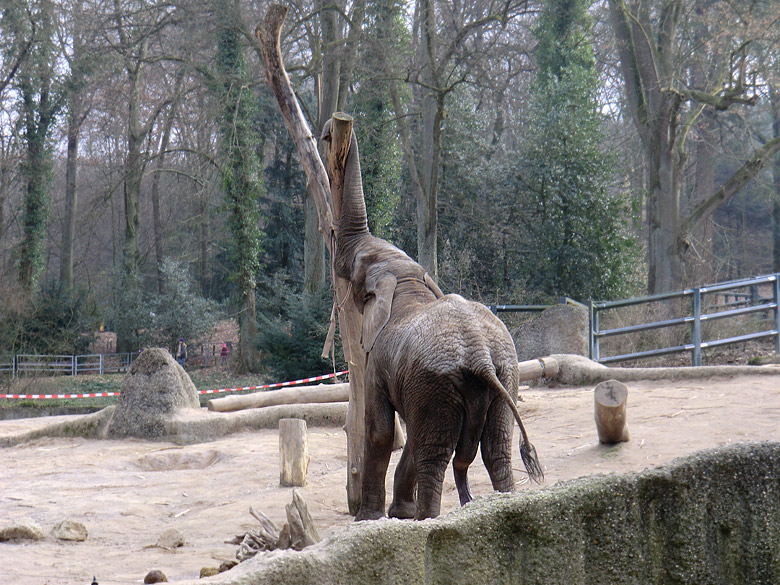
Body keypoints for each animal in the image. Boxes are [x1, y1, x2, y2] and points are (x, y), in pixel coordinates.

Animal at [322, 118, 544, 520]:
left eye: (357, 270)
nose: (330, 131)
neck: (408, 281)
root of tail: (480, 354)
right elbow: (409, 433)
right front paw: (399, 514)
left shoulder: (378, 362)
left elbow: (379, 430)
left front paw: (372, 518)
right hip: (504, 375)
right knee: (496, 449)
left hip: (435, 383)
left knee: (435, 456)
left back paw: (427, 518)